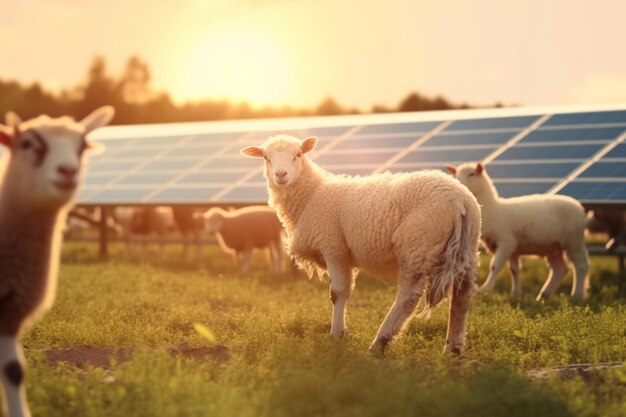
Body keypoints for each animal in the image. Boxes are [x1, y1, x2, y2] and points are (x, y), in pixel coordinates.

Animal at [239, 134, 478, 354]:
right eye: (266, 157)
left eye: (298, 154)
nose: (281, 175)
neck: (312, 195)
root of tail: (459, 200)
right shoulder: (345, 254)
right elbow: (344, 292)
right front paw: (341, 332)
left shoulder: (333, 246)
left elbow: (337, 293)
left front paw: (336, 334)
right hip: (467, 248)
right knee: (462, 295)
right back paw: (453, 350)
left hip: (417, 244)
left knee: (408, 297)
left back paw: (380, 342)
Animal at [446, 161, 588, 300]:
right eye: (456, 174)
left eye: (472, 174)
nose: (459, 184)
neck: (494, 209)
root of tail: (579, 208)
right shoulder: (512, 248)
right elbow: (514, 270)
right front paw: (515, 294)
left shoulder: (506, 242)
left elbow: (494, 266)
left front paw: (486, 289)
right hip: (552, 247)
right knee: (560, 269)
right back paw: (544, 295)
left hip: (573, 240)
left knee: (581, 266)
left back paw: (577, 295)